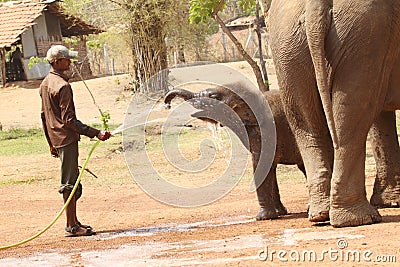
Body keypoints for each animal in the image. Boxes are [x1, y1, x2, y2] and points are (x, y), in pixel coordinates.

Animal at [164, 83, 304, 220]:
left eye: (213, 96)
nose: (167, 105)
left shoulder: (265, 131)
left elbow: (261, 164)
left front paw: (262, 217)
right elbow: (270, 168)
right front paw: (280, 213)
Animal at [268, 0, 400, 228]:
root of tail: (314, 4)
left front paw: (391, 201)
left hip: (286, 45)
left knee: (306, 122)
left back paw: (321, 214)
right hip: (365, 37)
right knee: (354, 112)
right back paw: (359, 219)